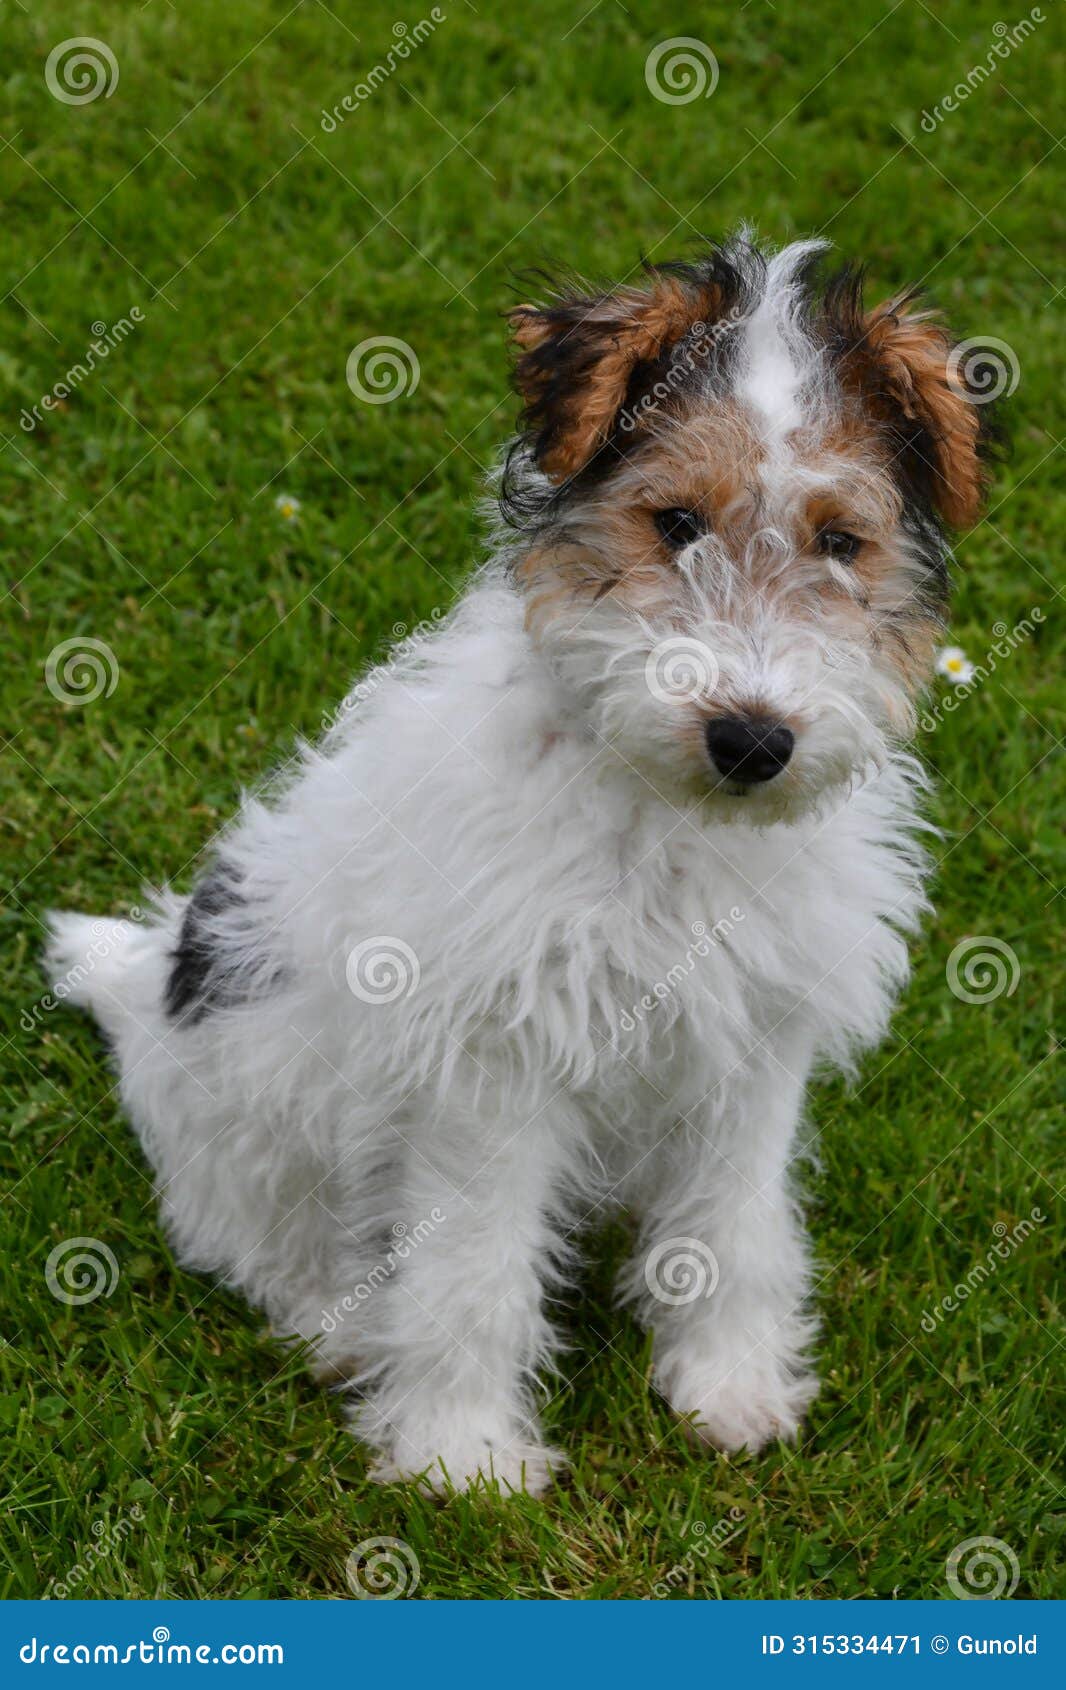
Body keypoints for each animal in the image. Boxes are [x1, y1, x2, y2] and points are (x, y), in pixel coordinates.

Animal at [47, 234, 1000, 1493]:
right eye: (674, 521)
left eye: (841, 542)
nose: (752, 741)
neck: (667, 818)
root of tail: (144, 983)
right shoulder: (494, 1069)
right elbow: (470, 1275)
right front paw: (463, 1459)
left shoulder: (754, 1046)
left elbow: (734, 1228)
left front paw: (728, 1386)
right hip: (254, 1095)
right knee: (261, 1243)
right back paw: (343, 1330)